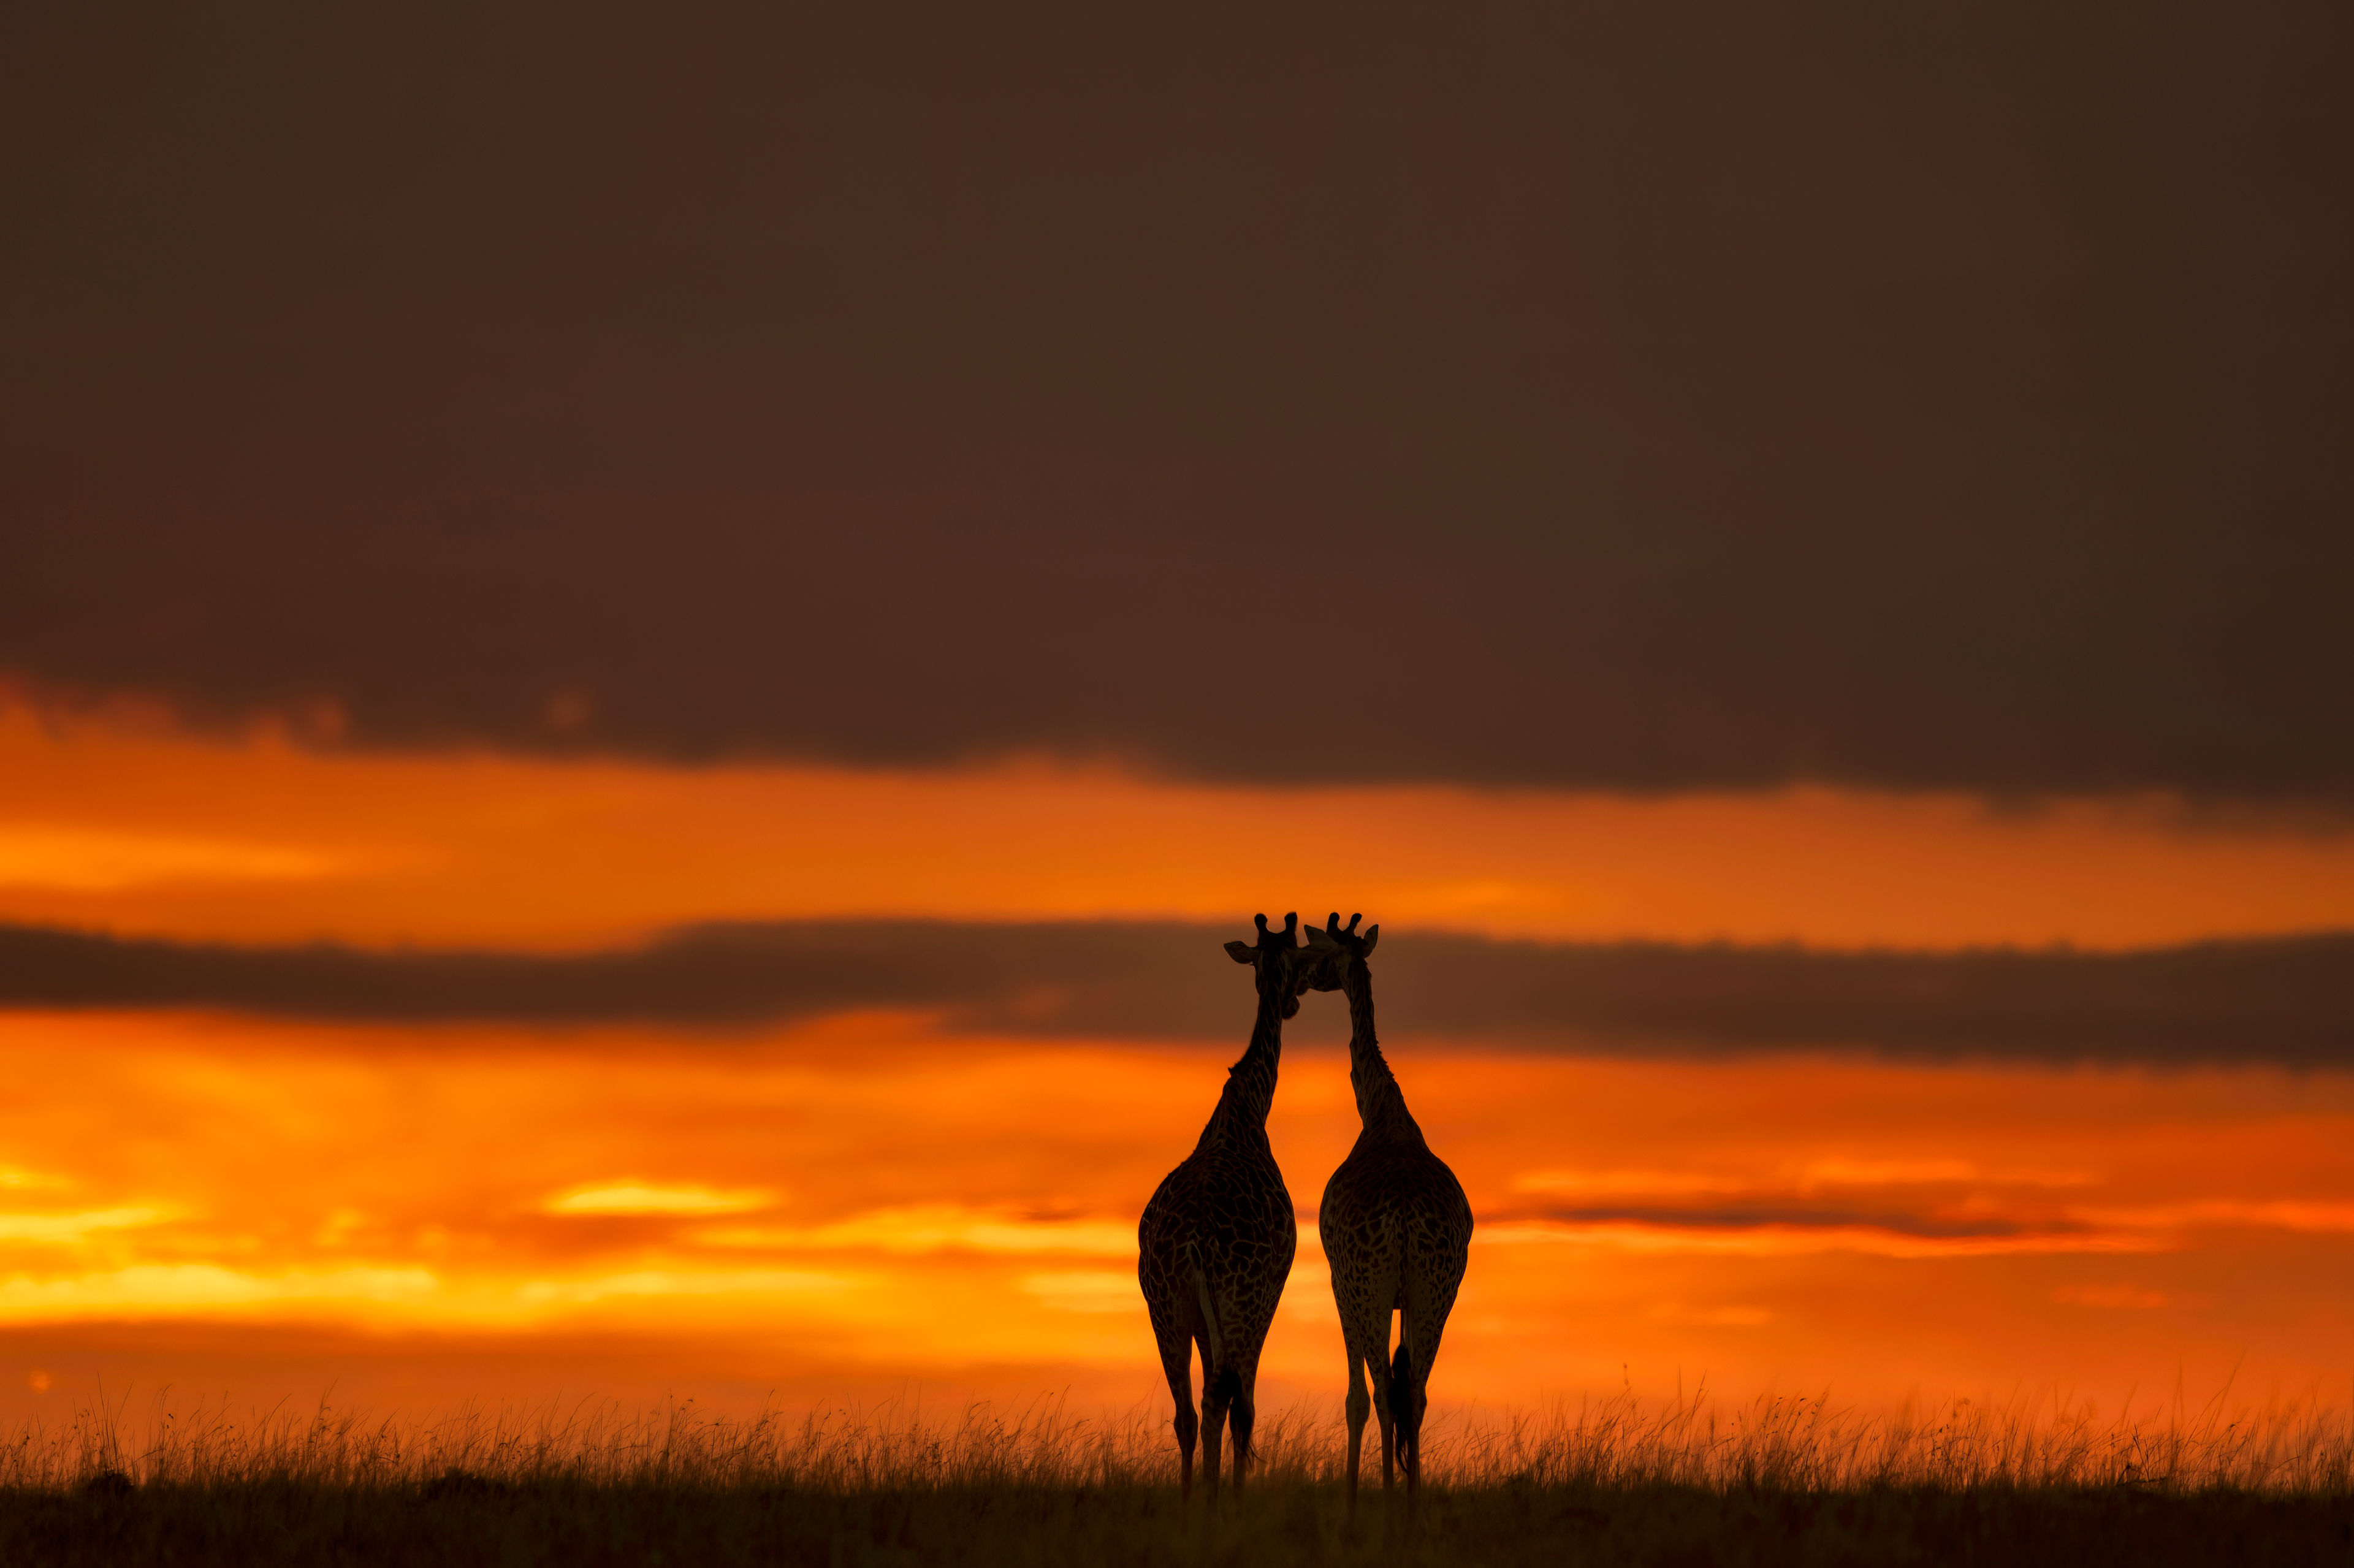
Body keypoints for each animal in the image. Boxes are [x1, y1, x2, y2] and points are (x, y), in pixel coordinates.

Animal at [1134, 908, 1337, 1497]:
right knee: (1225, 1401)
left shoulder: (1200, 1316)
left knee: (1188, 1410)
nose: (1293, 1002)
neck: (1245, 1112)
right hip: (1237, 1301)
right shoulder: (1268, 1291)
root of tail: (1195, 1244)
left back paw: (1187, 1501)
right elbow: (1242, 1405)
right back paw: (1212, 1500)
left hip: (1165, 1306)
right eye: (1300, 963)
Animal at [1309, 908, 1469, 1516]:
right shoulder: (1409, 1293)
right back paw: (1413, 1510)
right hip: (1437, 1290)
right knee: (1415, 1393)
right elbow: (1403, 1392)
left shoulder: (1338, 1281)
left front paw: (1353, 1505)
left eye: (1318, 954)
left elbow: (1355, 1397)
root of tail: (1403, 1220)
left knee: (1380, 1392)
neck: (1380, 1111)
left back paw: (1380, 1505)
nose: (1305, 979)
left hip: (1369, 1285)